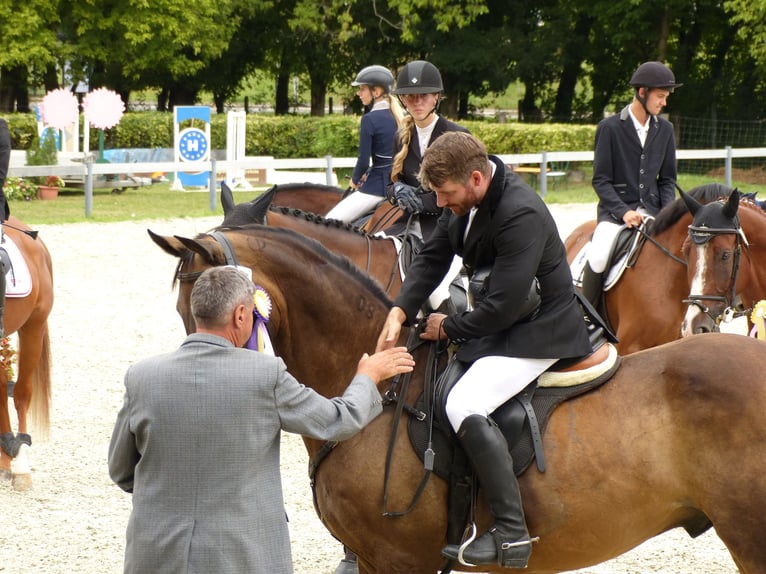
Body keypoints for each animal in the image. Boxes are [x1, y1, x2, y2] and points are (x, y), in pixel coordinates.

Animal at [148, 225, 766, 574]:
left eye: (208, 316)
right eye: (181, 314)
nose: (198, 388)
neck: (376, 394)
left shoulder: (399, 560)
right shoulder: (372, 560)